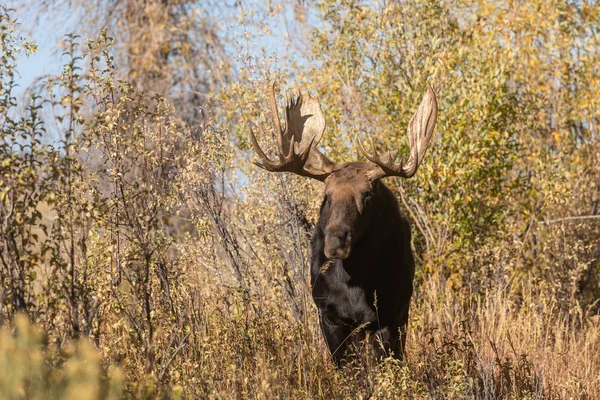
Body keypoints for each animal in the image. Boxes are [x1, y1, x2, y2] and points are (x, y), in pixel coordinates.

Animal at [248, 83, 436, 368]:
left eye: (367, 194)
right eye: (327, 195)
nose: (336, 241)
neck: (355, 282)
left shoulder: (389, 315)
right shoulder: (329, 316)